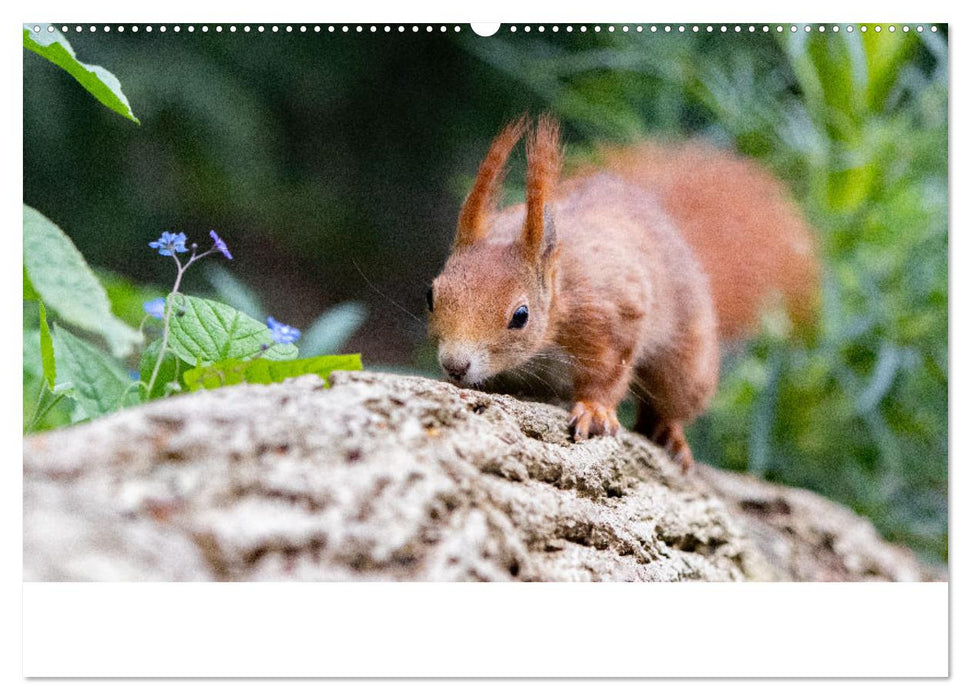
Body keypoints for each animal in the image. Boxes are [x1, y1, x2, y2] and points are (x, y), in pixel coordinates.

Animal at [430, 116, 816, 470]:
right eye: (431, 295)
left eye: (520, 316)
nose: (455, 365)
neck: (561, 287)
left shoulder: (608, 316)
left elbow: (609, 372)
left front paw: (594, 410)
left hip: (686, 365)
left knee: (670, 402)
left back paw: (669, 434)